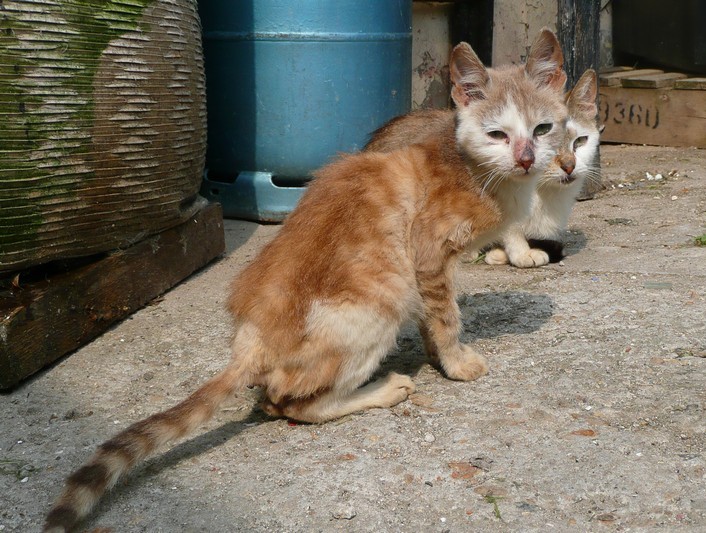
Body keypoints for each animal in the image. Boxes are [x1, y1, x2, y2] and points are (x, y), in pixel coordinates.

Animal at [45, 31, 568, 528]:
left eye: (543, 129)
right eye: (497, 133)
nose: (527, 158)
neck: (478, 172)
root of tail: (251, 341)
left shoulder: (429, 269)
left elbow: (433, 317)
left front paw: (440, 357)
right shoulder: (427, 255)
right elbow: (446, 316)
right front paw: (457, 363)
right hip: (383, 300)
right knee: (287, 404)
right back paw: (382, 390)